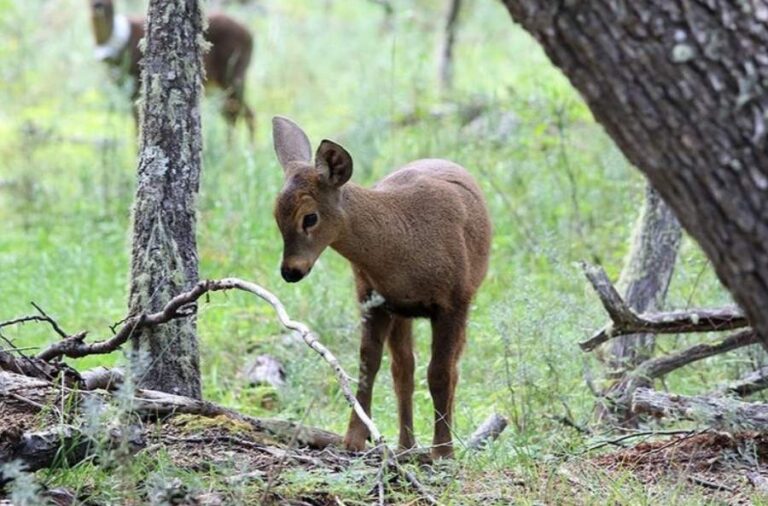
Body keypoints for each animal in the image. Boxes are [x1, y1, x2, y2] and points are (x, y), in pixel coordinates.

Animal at [87, 0, 255, 138]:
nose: (97, 5)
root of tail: (250, 34)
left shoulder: (136, 83)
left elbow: (137, 125)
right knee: (231, 113)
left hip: (233, 75)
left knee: (245, 114)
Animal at [270, 116, 492, 456]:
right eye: (276, 215)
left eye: (309, 218)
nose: (290, 271)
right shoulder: (372, 297)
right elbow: (368, 365)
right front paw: (353, 440)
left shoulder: (453, 302)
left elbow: (440, 373)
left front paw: (443, 452)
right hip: (400, 312)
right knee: (403, 370)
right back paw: (406, 446)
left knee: (451, 368)